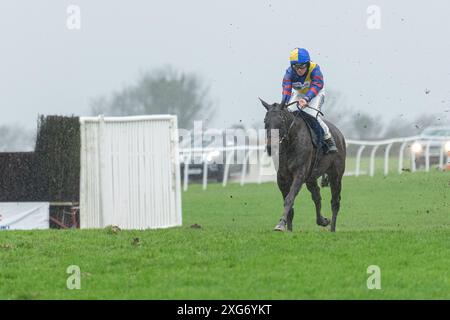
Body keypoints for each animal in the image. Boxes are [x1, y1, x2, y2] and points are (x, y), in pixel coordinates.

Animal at [260, 98, 344, 232]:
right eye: (265, 122)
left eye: (281, 122)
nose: (270, 147)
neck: (290, 143)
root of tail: (339, 134)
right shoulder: (282, 177)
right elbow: (289, 203)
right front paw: (288, 229)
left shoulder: (299, 174)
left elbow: (289, 198)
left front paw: (280, 224)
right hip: (311, 177)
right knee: (316, 195)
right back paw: (322, 220)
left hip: (335, 174)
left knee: (335, 202)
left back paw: (332, 229)